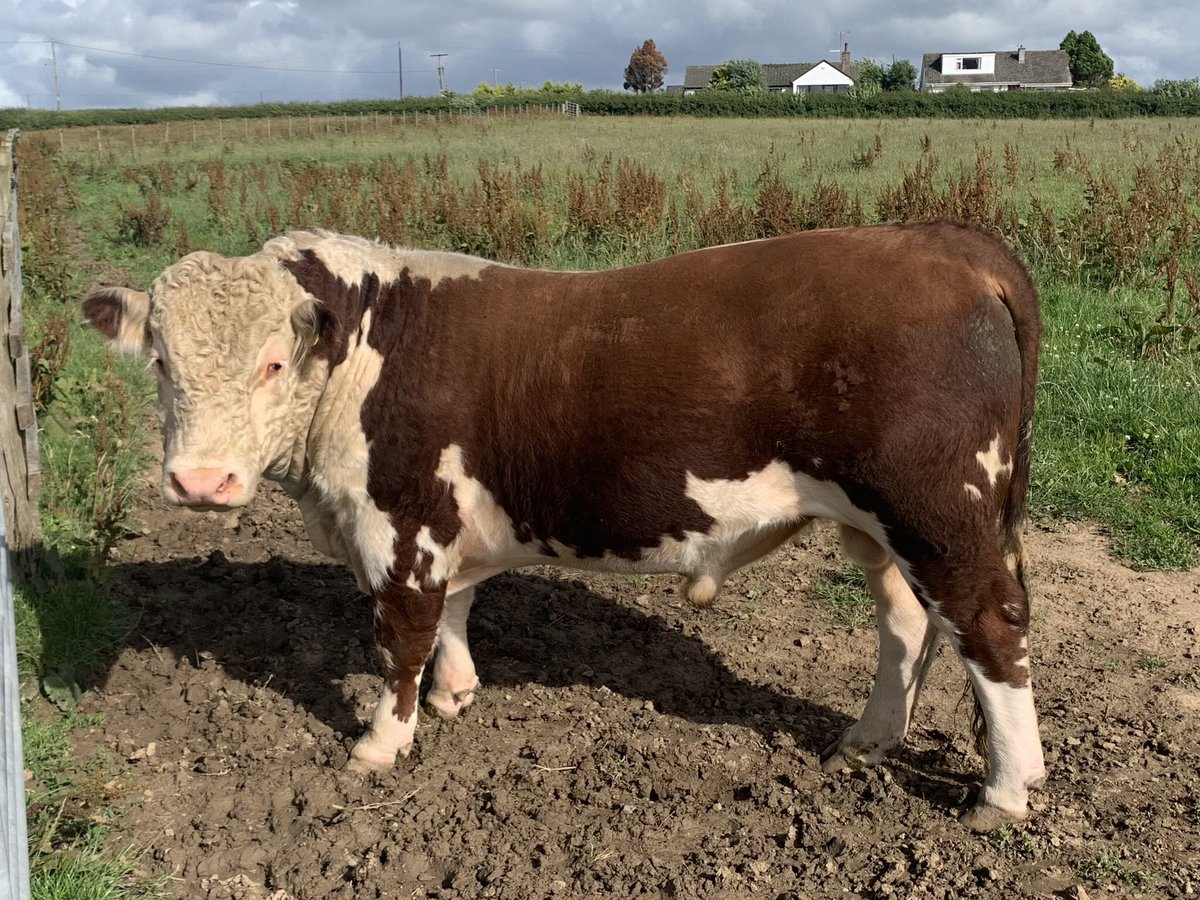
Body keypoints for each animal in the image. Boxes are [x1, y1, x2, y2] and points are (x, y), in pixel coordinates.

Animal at [83, 221, 1044, 831]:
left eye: (275, 362)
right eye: (160, 361)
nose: (200, 482)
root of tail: (945, 239)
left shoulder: (402, 524)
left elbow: (402, 635)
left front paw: (381, 742)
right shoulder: (443, 526)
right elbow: (455, 614)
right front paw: (456, 692)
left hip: (937, 512)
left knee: (990, 627)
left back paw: (1003, 792)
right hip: (881, 525)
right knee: (907, 622)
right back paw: (870, 739)